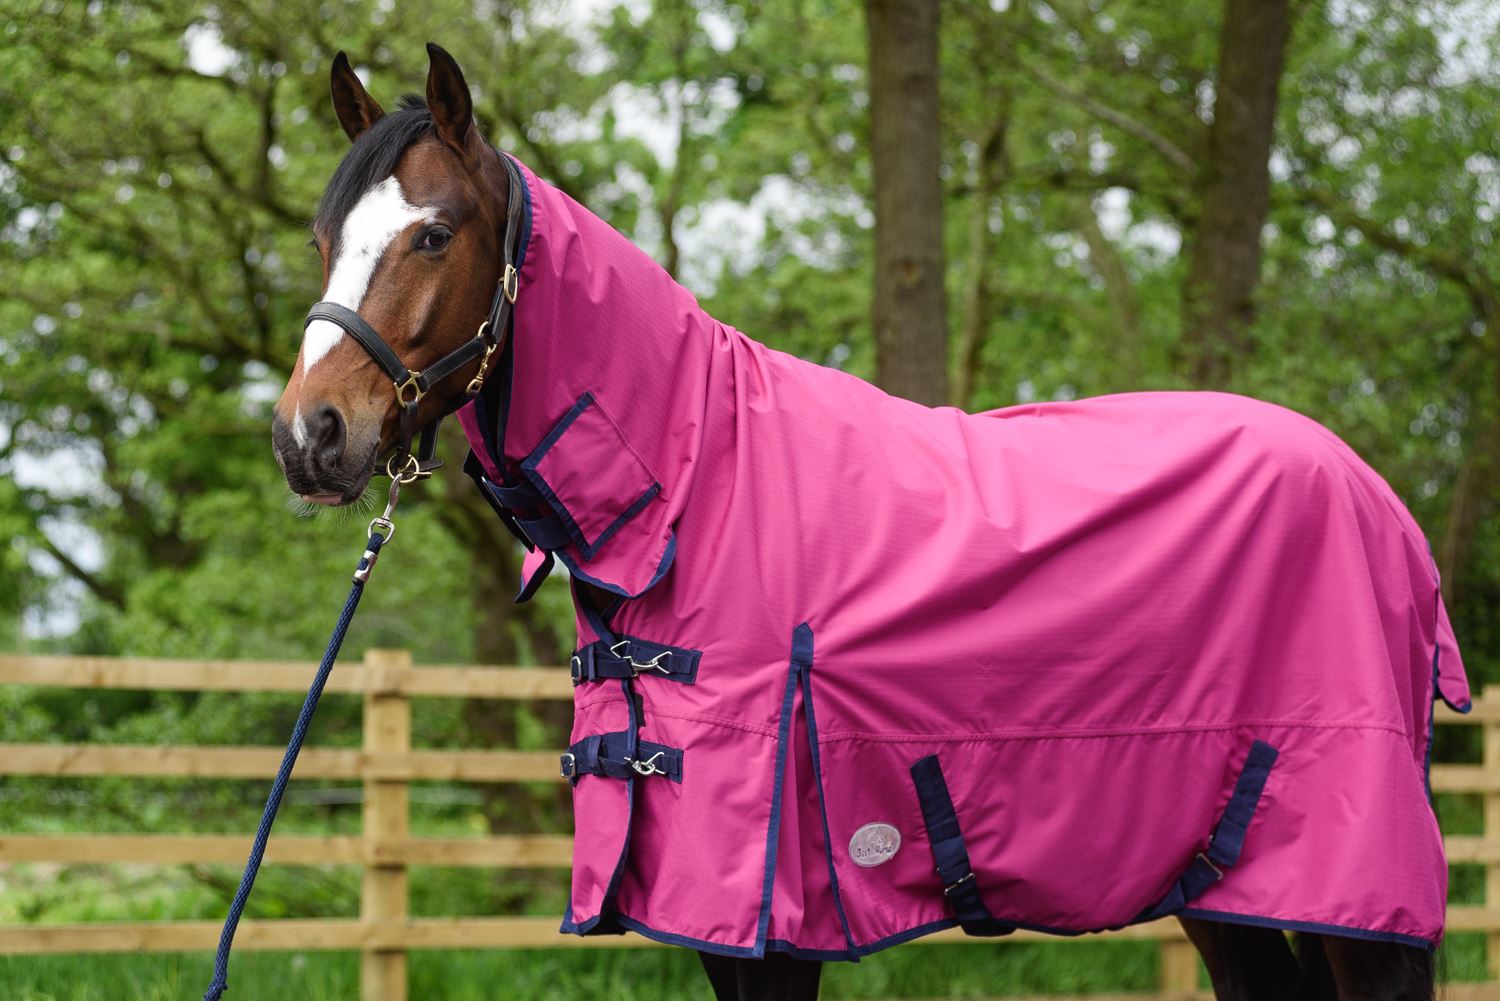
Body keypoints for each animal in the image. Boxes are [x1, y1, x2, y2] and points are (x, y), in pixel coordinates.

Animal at [272, 44, 1466, 1001]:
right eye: (326, 237)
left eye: (434, 233)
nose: (308, 436)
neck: (697, 475)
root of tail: (1384, 506)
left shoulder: (764, 914)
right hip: (1222, 888)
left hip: (1357, 899)